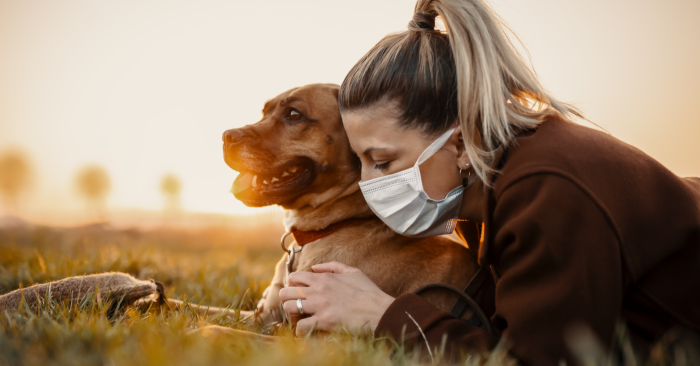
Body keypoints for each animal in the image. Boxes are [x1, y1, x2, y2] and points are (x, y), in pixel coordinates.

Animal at [221, 83, 478, 326]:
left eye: (294, 114)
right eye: (264, 112)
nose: (226, 136)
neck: (335, 225)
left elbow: (221, 329)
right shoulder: (262, 317)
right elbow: (217, 316)